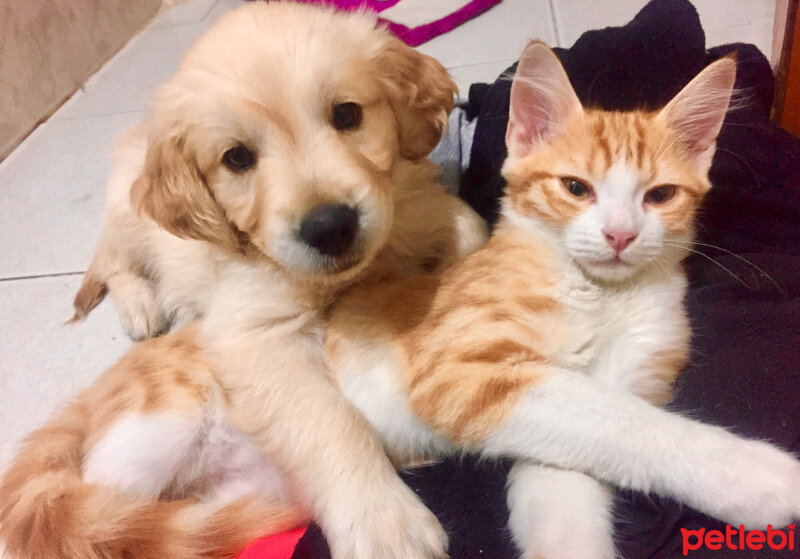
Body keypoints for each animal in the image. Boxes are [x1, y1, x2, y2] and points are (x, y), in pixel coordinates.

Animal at [1, 4, 488, 559]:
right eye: (236, 158)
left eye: (347, 115)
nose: (330, 227)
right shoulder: (256, 331)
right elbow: (329, 421)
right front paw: (383, 521)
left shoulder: (416, 208)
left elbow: (467, 226)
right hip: (127, 218)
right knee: (114, 263)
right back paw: (140, 306)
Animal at [328, 43, 800, 559]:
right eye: (576, 188)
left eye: (660, 195)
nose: (620, 234)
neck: (598, 292)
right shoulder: (459, 371)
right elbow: (622, 423)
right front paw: (759, 476)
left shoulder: (636, 357)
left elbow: (568, 482)